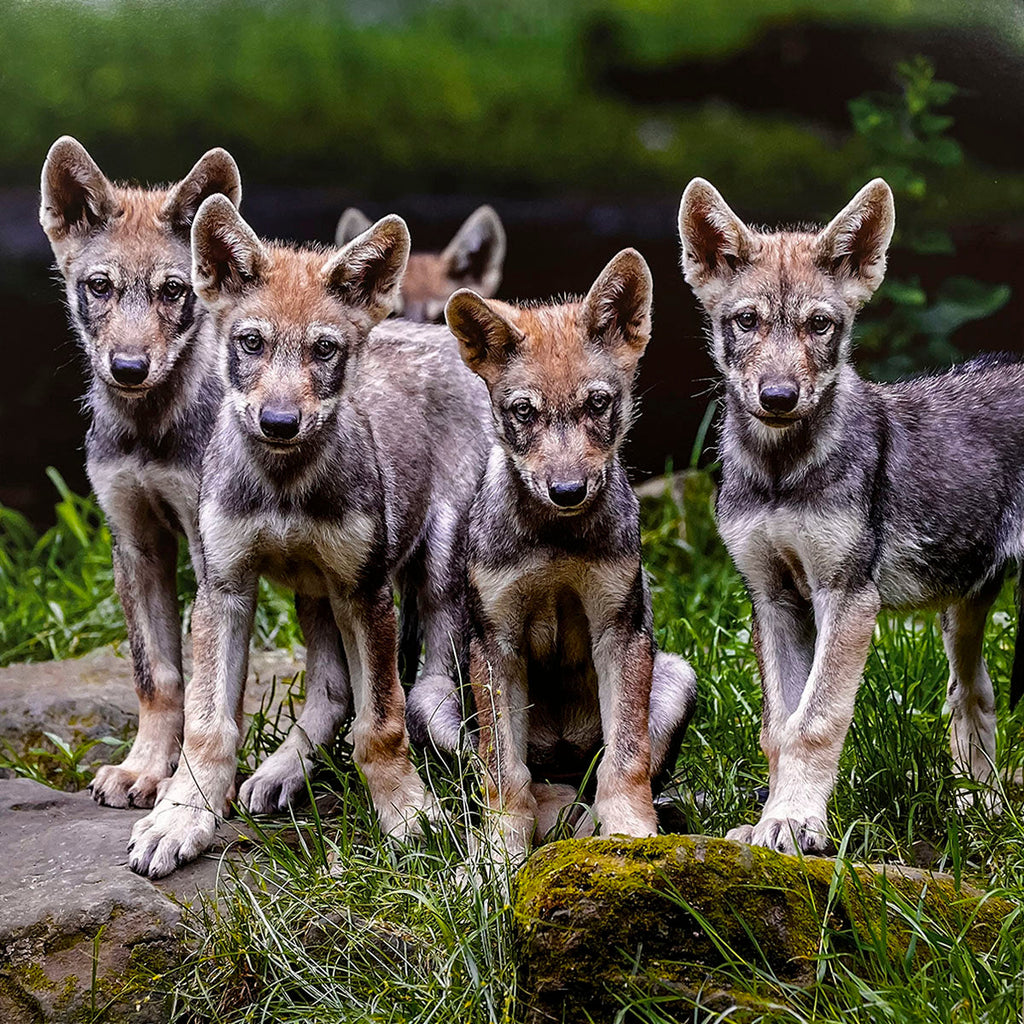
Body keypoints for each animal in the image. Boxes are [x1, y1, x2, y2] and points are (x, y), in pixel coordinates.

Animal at [39, 136, 242, 809]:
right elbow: (157, 677)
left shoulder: (213, 555)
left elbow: (211, 693)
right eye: (99, 286)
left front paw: (189, 790)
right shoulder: (134, 541)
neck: (147, 433)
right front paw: (144, 769)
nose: (128, 367)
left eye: (173, 290)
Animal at [443, 250, 697, 860]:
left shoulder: (619, 630)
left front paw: (633, 837)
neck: (556, 542)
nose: (567, 491)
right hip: (431, 696)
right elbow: (504, 774)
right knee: (519, 782)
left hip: (676, 677)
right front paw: (498, 858)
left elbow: (626, 760)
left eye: (598, 403)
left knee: (608, 777)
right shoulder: (497, 642)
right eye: (524, 412)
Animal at [677, 176, 1024, 855]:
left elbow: (815, 721)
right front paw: (769, 822)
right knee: (972, 693)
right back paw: (981, 811)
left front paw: (794, 823)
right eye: (747, 321)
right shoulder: (773, 596)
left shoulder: (847, 596)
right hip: (963, 610)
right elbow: (777, 730)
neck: (781, 475)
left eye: (820, 325)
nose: (778, 397)